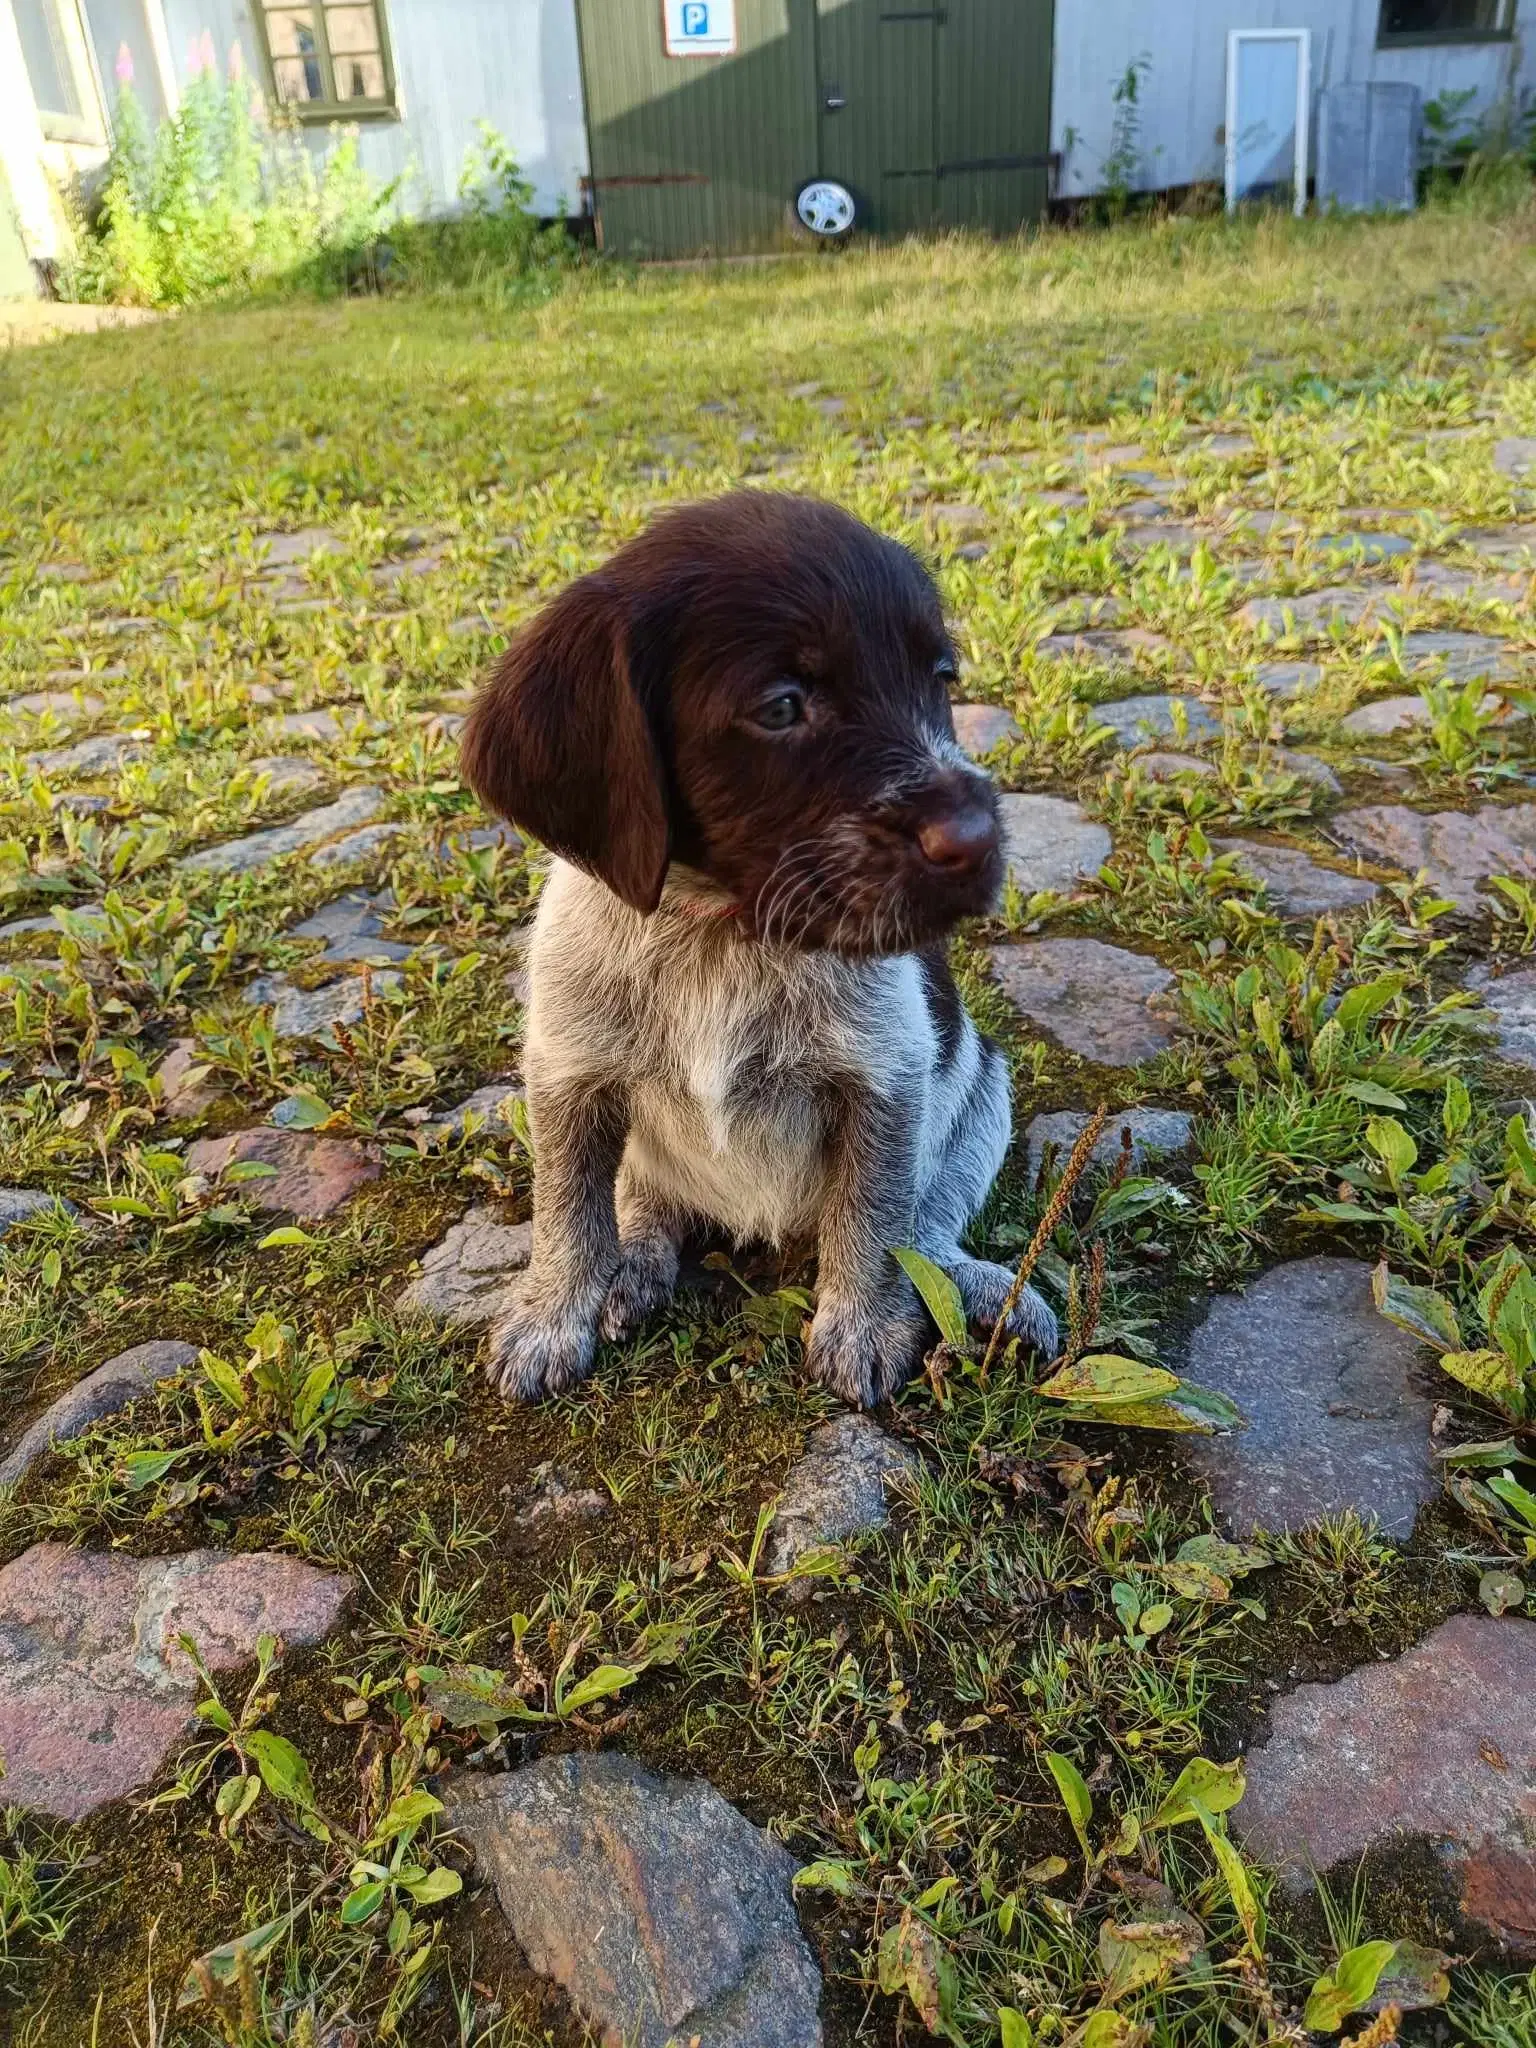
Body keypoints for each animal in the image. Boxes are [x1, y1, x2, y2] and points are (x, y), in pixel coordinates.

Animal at [456, 491, 1056, 1409]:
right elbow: (567, 1211)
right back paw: (635, 1262)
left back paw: (981, 1286)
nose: (979, 840)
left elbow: (875, 1217)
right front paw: (553, 1312)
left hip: (983, 1087)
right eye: (781, 707)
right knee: (641, 1199)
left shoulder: (889, 1077)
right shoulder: (568, 1074)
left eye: (940, 679)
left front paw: (865, 1323)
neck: (723, 929)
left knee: (931, 1222)